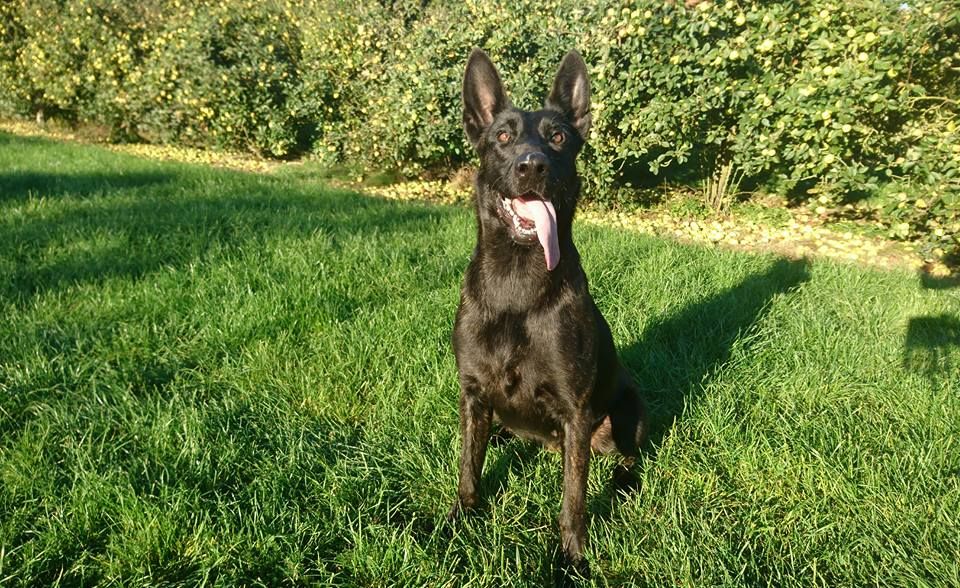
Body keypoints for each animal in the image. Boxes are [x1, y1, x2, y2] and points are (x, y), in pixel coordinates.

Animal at [448, 49, 644, 580]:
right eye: (502, 137)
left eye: (558, 137)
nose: (531, 165)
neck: (517, 282)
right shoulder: (473, 392)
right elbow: (468, 466)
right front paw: (459, 519)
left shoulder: (576, 411)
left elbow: (573, 497)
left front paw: (571, 559)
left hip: (628, 408)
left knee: (628, 456)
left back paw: (624, 484)